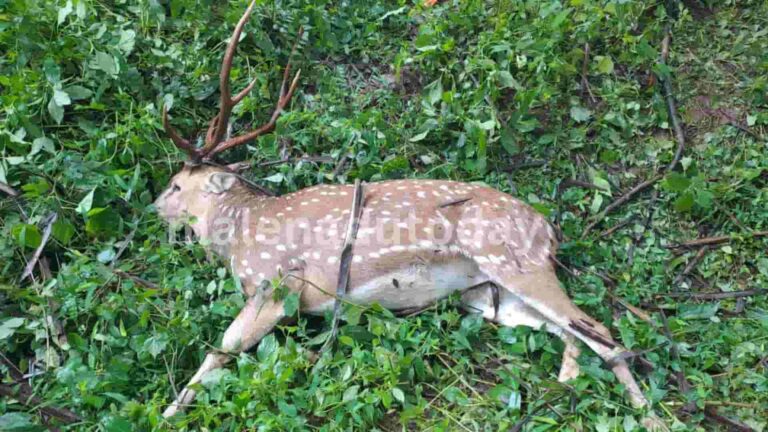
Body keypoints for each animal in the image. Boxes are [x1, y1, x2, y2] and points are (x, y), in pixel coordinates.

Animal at [153, 2, 666, 429]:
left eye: (177, 184)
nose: (155, 206)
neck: (240, 233)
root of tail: (549, 228)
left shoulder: (276, 284)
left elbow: (220, 350)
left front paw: (167, 413)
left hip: (514, 259)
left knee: (604, 332)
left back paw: (650, 415)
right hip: (488, 294)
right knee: (569, 331)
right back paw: (566, 381)